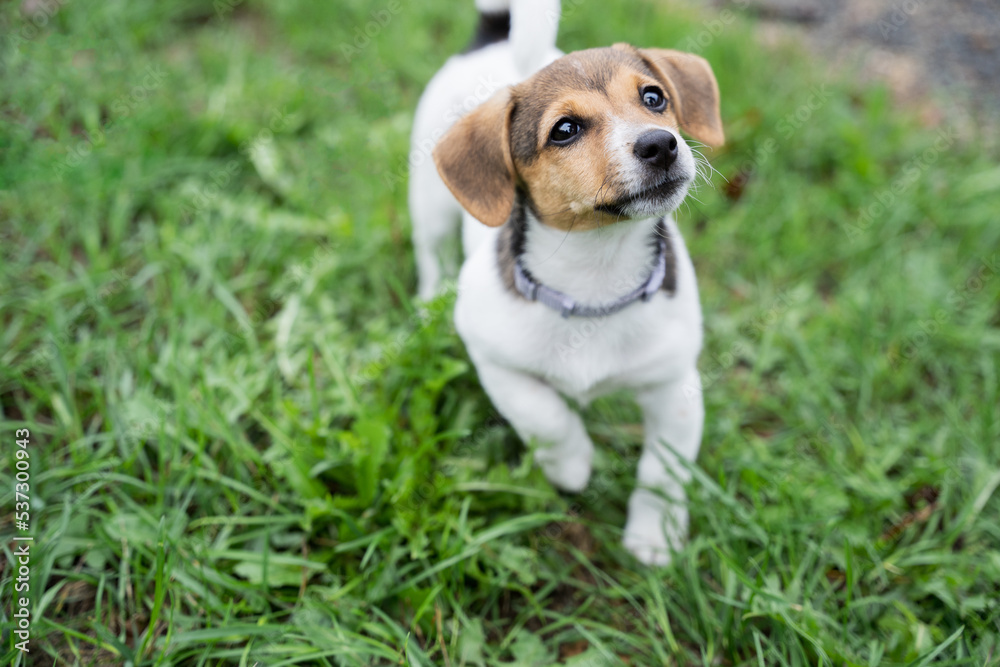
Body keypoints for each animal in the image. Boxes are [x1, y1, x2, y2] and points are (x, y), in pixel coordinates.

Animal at [410, 0, 724, 568]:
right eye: (565, 130)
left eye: (654, 98)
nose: (660, 143)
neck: (596, 275)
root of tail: (495, 36)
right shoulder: (494, 359)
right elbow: (545, 415)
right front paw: (572, 465)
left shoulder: (676, 386)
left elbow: (662, 472)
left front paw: (655, 536)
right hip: (429, 206)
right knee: (431, 256)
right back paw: (426, 306)